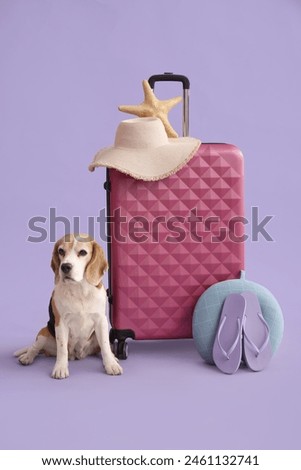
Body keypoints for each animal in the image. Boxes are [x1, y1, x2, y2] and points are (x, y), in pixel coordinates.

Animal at [14, 235, 122, 378]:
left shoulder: (101, 321)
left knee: (102, 348)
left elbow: (105, 346)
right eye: (61, 251)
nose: (65, 266)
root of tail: (78, 355)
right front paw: (60, 368)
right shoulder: (61, 323)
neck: (79, 289)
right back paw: (27, 357)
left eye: (83, 252)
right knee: (35, 348)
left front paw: (111, 364)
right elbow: (62, 349)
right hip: (43, 333)